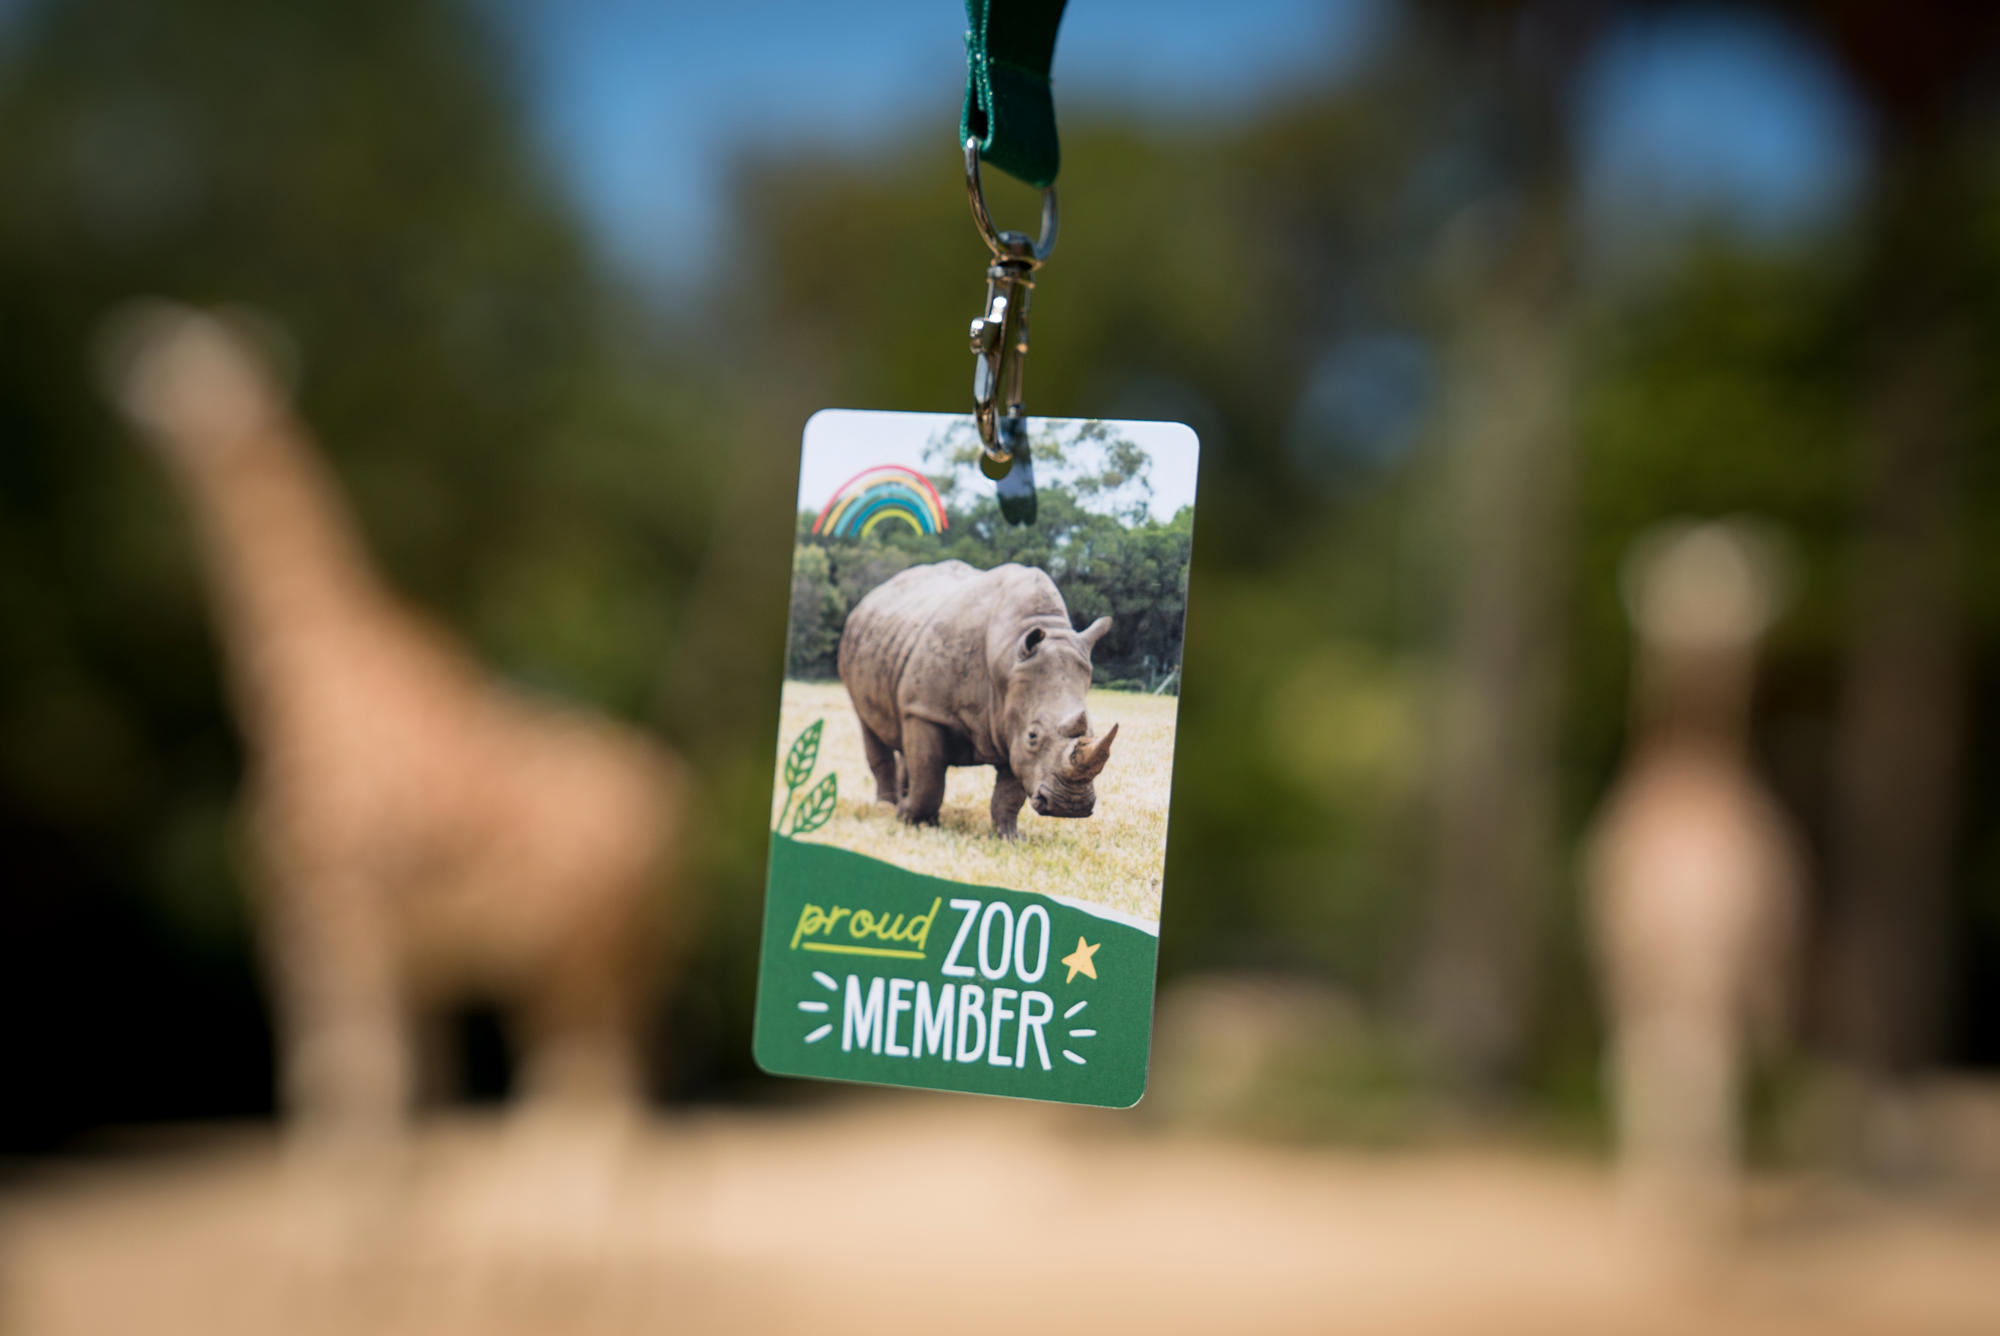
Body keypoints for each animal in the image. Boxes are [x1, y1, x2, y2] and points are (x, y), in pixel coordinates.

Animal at [100, 302, 694, 1147]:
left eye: (184, 357)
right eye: (157, 346)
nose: (116, 353)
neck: (296, 684)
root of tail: (674, 798)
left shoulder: (336, 899)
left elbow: (350, 1082)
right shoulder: (358, 934)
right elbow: (399, 1091)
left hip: (585, 944)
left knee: (589, 1083)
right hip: (611, 949)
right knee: (610, 1077)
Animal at [838, 560, 1118, 837]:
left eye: (1092, 733)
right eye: (1033, 736)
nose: (1071, 806)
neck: (1007, 656)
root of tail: (870, 597)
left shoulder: (1012, 721)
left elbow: (1009, 792)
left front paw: (1008, 837)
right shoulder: (925, 710)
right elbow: (929, 775)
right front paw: (908, 818)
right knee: (870, 726)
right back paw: (886, 807)